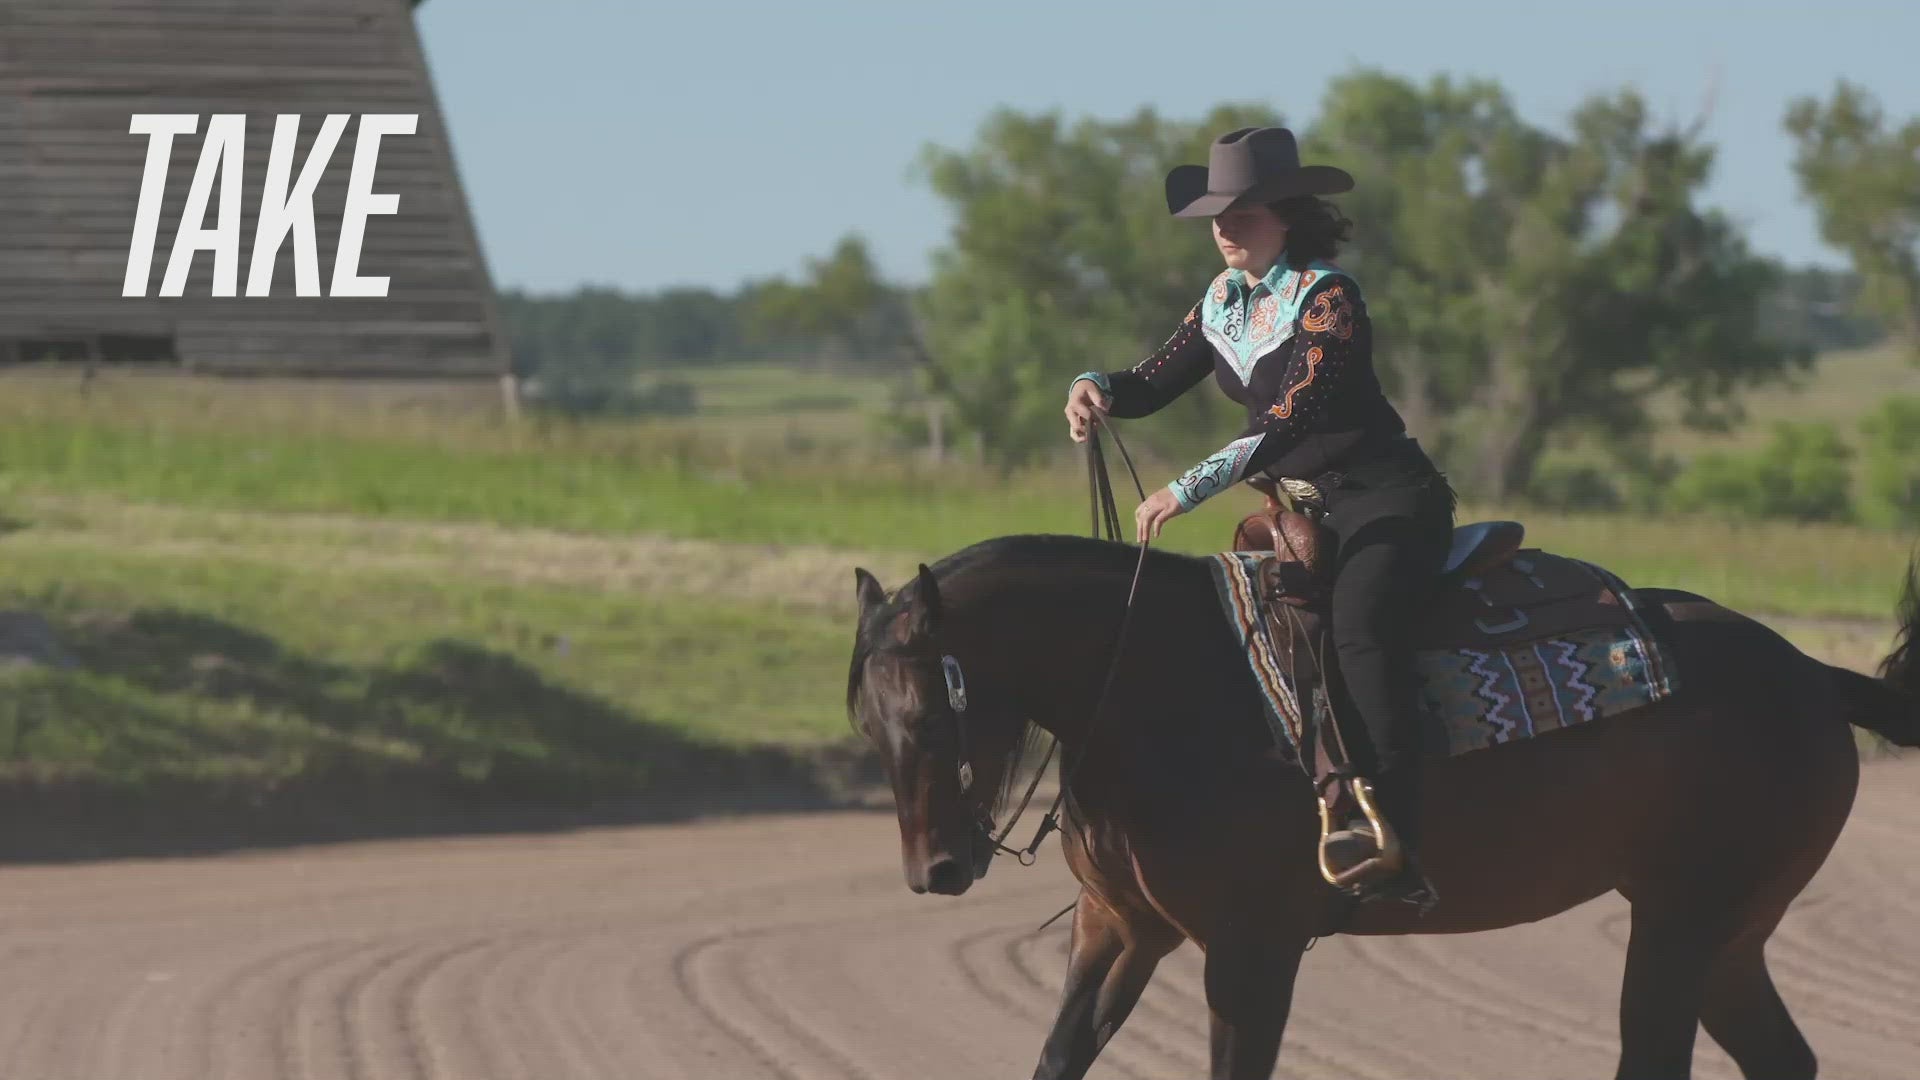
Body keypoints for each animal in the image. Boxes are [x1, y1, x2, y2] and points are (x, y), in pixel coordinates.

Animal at [844, 534, 1920, 1068]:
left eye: (934, 718)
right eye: (868, 726)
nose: (935, 870)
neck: (1167, 685)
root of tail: (1811, 676)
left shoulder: (1252, 951)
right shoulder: (1119, 930)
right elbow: (1059, 1055)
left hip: (1680, 924)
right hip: (1729, 938)